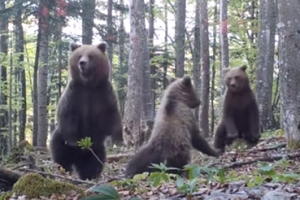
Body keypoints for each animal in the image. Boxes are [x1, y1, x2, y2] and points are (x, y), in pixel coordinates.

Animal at [49, 42, 122, 180]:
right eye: (79, 55)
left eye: (91, 55)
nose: (82, 63)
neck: (89, 85)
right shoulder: (74, 93)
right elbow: (68, 114)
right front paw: (73, 142)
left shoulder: (104, 93)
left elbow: (112, 115)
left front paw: (118, 141)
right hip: (61, 139)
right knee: (61, 154)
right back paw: (64, 170)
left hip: (95, 146)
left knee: (94, 162)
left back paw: (89, 175)